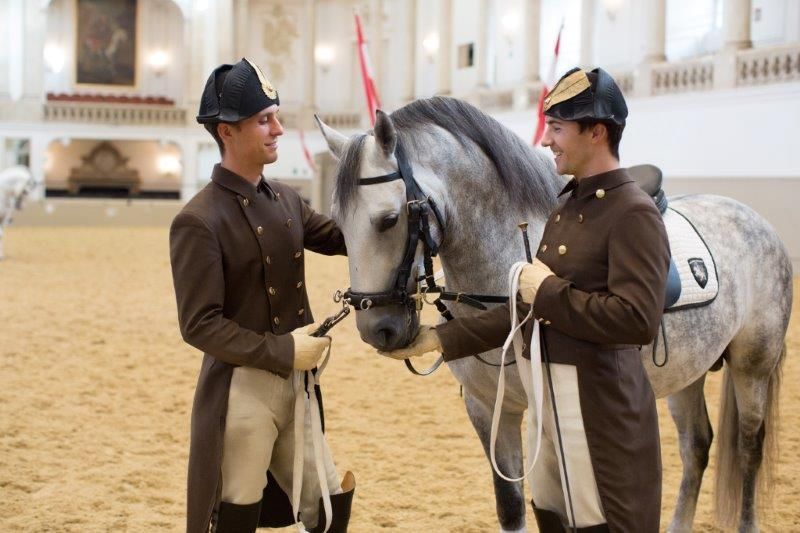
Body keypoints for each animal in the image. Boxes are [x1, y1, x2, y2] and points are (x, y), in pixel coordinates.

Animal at [316, 96, 792, 532]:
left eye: (388, 219)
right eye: (338, 222)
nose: (378, 329)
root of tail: (756, 221)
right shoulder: (488, 409)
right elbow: (511, 506)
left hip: (753, 367)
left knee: (749, 446)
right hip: (687, 374)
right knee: (696, 444)